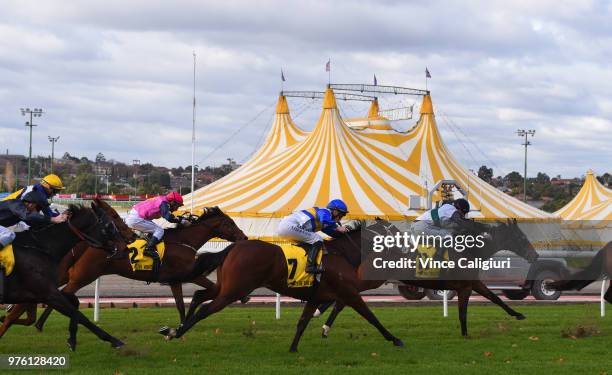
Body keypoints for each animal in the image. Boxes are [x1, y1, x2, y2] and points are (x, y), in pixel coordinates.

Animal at [0, 206, 124, 350]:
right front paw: (114, 340)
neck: (42, 247)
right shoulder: (47, 293)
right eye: (109, 226)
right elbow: (79, 315)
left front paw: (72, 338)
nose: (125, 248)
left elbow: (73, 304)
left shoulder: (37, 294)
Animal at [160, 225, 404, 354]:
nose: (406, 246)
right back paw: (176, 332)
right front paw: (395, 339)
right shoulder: (349, 293)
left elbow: (303, 322)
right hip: (235, 290)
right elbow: (371, 316)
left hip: (225, 285)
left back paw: (175, 328)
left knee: (199, 295)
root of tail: (233, 247)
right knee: (206, 309)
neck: (342, 254)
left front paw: (293, 348)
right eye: (393, 232)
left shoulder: (316, 297)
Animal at [318, 217, 536, 338]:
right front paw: (465, 334)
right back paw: (323, 320)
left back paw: (323, 322)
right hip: (372, 278)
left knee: (344, 296)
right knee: (345, 295)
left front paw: (518, 314)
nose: (535, 255)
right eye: (521, 238)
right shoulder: (465, 287)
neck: (469, 249)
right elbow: (463, 312)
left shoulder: (473, 282)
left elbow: (496, 298)